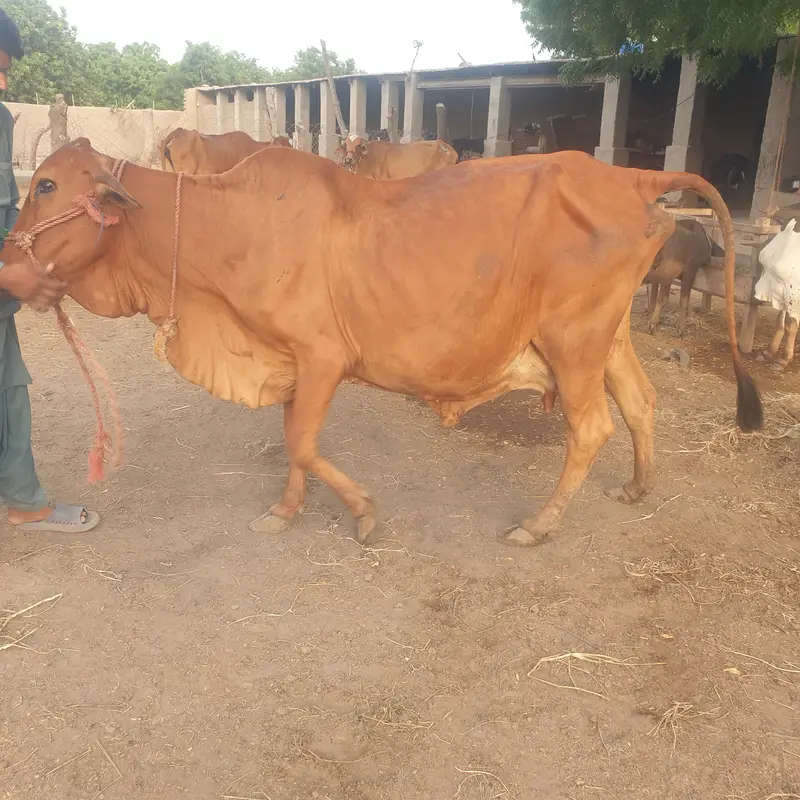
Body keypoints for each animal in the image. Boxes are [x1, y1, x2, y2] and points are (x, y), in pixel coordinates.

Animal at [6, 139, 763, 548]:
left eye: (46, 185)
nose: (9, 264)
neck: (225, 228)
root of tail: (630, 178)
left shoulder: (321, 358)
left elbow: (303, 443)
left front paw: (363, 513)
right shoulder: (292, 363)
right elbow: (293, 443)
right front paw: (286, 510)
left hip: (573, 340)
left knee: (593, 427)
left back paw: (540, 524)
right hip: (607, 336)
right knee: (640, 402)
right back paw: (638, 486)